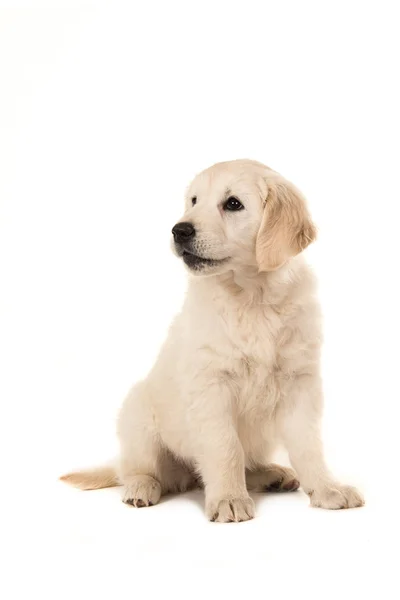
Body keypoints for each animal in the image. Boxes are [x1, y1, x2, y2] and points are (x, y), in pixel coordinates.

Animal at [61, 158, 364, 520]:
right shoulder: (211, 385)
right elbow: (225, 446)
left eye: (232, 204)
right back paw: (142, 487)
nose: (179, 230)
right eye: (193, 201)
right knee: (136, 469)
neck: (252, 297)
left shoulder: (300, 382)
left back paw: (271, 474)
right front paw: (229, 499)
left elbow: (308, 445)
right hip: (138, 415)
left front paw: (327, 489)